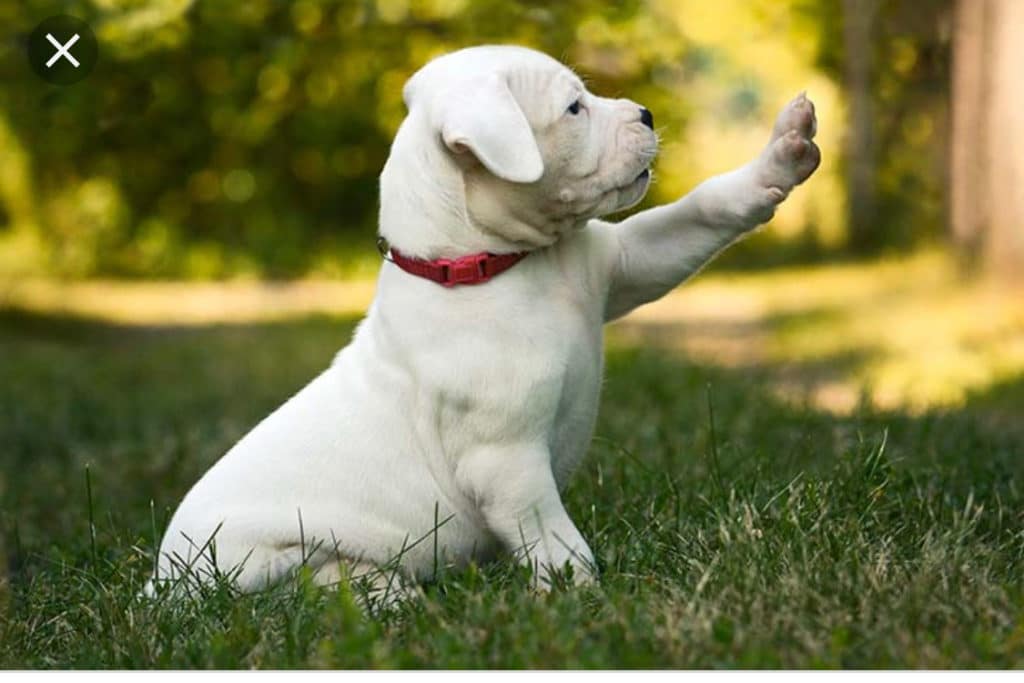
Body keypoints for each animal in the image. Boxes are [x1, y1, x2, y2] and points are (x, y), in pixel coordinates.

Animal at [151, 45, 819, 598]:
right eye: (574, 107)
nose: (647, 114)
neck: (494, 266)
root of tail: (158, 591)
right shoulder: (507, 464)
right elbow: (553, 538)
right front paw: (585, 597)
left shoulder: (624, 265)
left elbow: (700, 212)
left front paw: (782, 155)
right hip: (261, 558)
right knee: (315, 586)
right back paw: (391, 595)